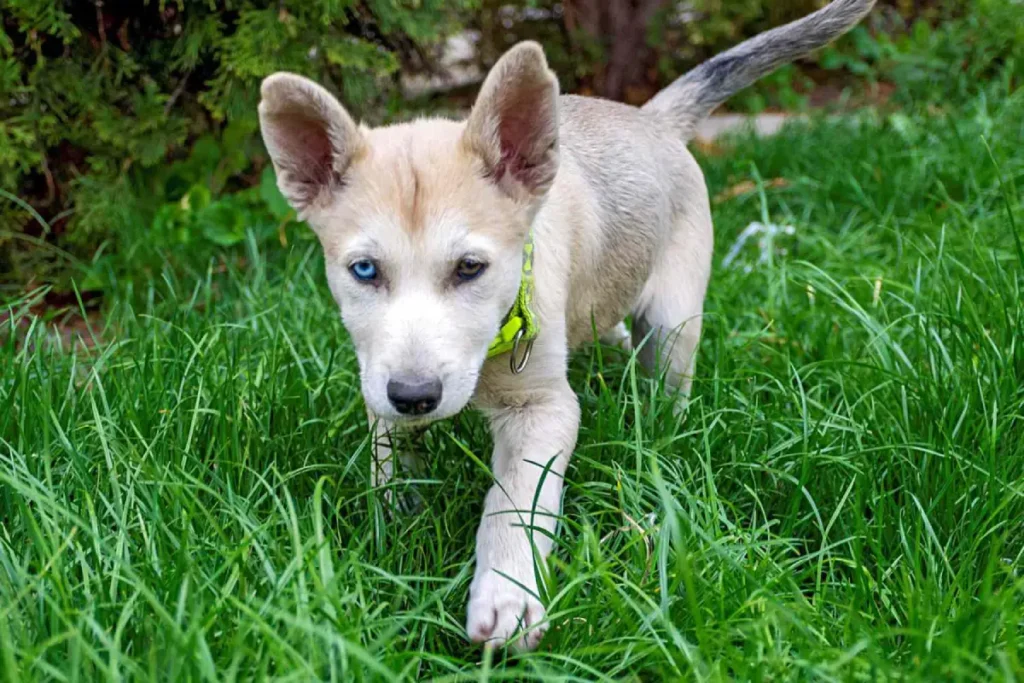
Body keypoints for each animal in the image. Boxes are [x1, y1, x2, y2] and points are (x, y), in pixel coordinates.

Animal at [256, 0, 872, 651]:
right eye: (365, 270)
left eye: (471, 268)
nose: (417, 396)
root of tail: (651, 118)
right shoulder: (379, 379)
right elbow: (390, 461)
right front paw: (396, 524)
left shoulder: (544, 409)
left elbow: (515, 505)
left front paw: (507, 595)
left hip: (673, 321)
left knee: (665, 378)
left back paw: (660, 433)